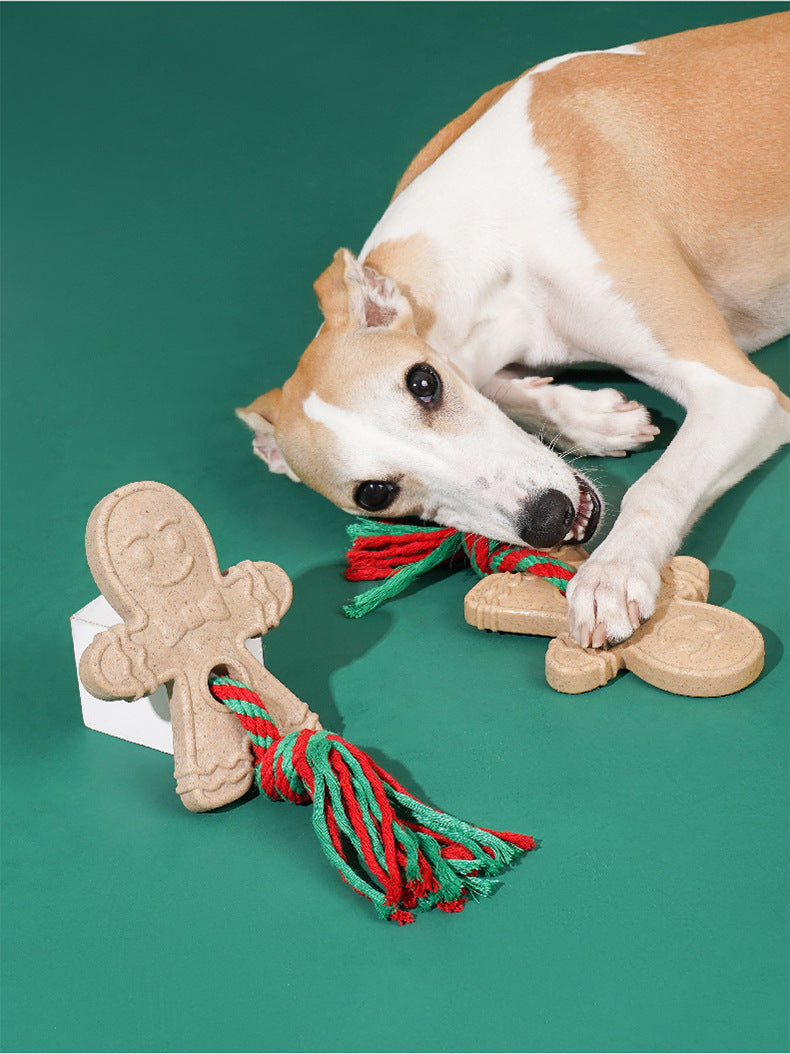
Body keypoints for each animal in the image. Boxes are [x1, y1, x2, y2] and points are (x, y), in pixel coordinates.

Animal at [240, 16, 790, 649]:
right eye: (375, 495)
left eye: (423, 383)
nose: (548, 518)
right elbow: (508, 387)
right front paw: (594, 419)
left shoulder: (741, 392)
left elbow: (657, 485)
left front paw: (612, 572)